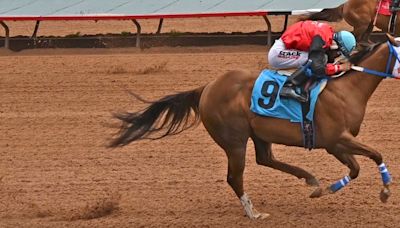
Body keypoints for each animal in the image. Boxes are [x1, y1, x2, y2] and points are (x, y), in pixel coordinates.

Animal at [110, 35, 396, 219]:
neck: (346, 91)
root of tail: (206, 88)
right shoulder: (336, 140)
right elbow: (373, 155)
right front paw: (384, 190)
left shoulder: (336, 144)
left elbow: (357, 167)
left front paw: (326, 189)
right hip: (234, 141)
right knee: (235, 176)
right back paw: (254, 213)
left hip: (259, 133)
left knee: (265, 158)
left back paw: (310, 180)